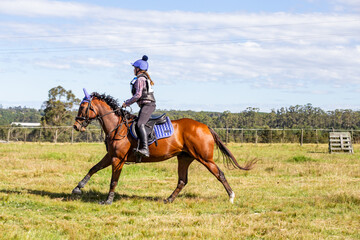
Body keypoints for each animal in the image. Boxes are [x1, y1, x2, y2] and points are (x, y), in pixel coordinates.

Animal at [71, 90, 255, 204]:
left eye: (83, 107)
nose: (76, 126)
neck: (118, 126)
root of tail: (205, 126)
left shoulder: (118, 159)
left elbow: (113, 181)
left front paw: (108, 200)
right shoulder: (111, 156)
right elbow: (93, 168)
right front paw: (78, 187)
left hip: (205, 158)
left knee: (219, 174)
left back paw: (231, 196)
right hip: (185, 158)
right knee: (182, 180)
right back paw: (169, 199)